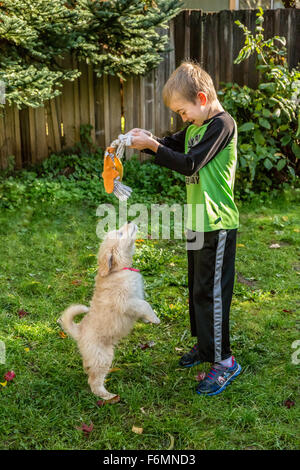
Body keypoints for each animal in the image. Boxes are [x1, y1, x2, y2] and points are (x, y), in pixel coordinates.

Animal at [59, 222, 162, 398]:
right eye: (120, 234)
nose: (129, 221)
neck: (120, 269)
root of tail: (79, 331)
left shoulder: (135, 300)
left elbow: (143, 308)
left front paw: (147, 319)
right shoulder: (127, 302)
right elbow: (145, 304)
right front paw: (155, 319)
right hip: (102, 357)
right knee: (94, 381)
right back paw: (108, 396)